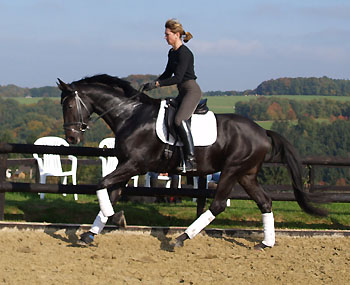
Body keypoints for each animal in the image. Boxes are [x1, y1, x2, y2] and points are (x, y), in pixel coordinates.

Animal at [56, 74, 326, 248]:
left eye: (68, 105)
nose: (71, 137)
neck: (130, 115)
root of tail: (262, 131)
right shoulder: (127, 166)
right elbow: (110, 192)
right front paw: (93, 233)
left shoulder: (134, 164)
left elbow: (101, 184)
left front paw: (114, 218)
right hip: (246, 174)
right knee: (265, 202)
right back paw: (266, 243)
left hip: (232, 170)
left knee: (218, 205)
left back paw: (181, 238)